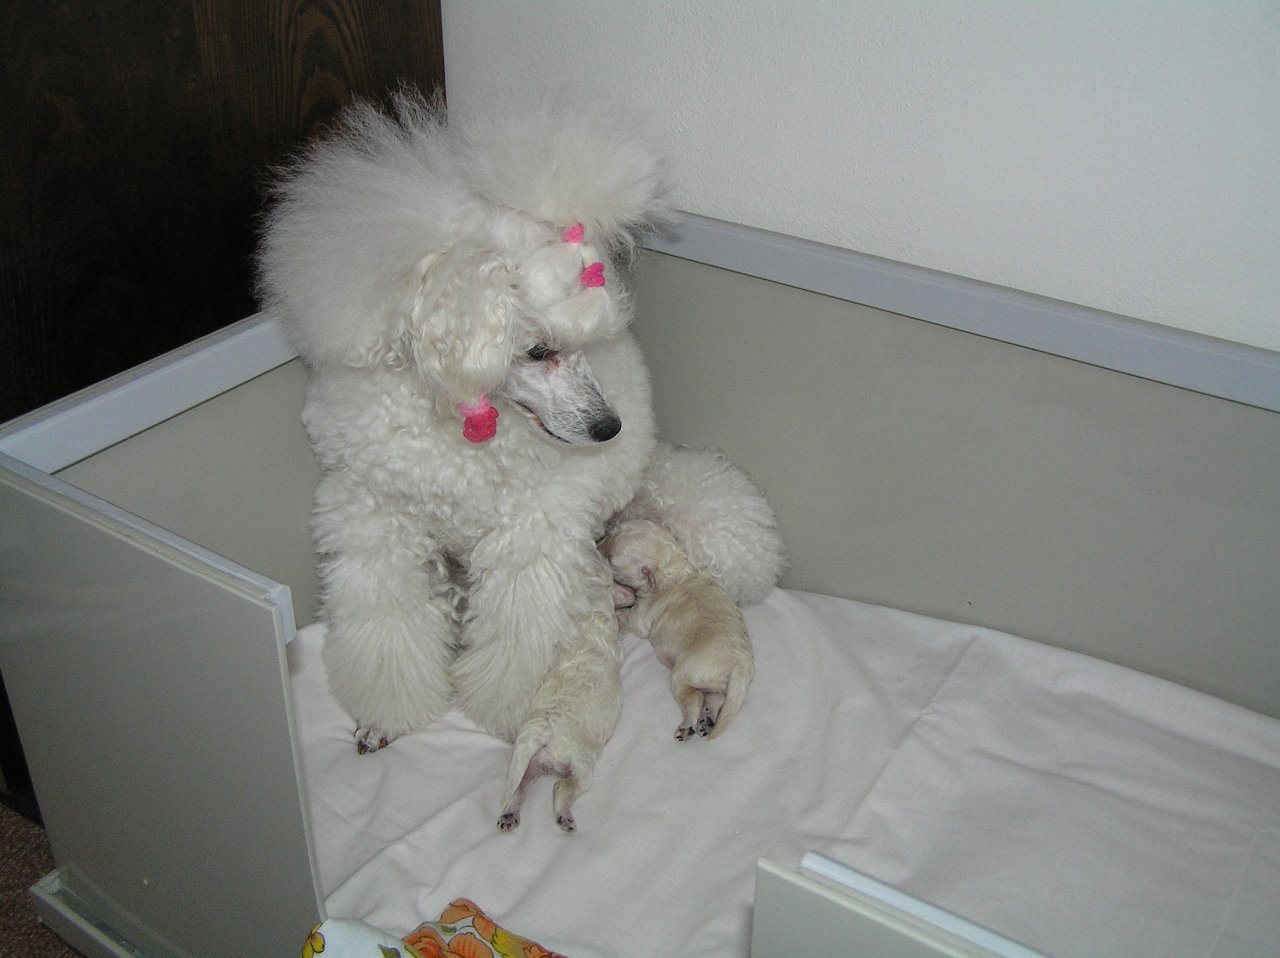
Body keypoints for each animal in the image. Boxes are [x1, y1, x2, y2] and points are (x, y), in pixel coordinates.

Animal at [600, 518, 754, 741]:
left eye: (611, 560)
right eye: (610, 533)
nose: (596, 543)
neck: (673, 567)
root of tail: (741, 666)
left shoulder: (642, 614)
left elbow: (629, 617)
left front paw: (617, 611)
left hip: (685, 671)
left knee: (694, 698)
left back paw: (687, 727)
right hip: (715, 682)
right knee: (714, 698)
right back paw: (706, 721)